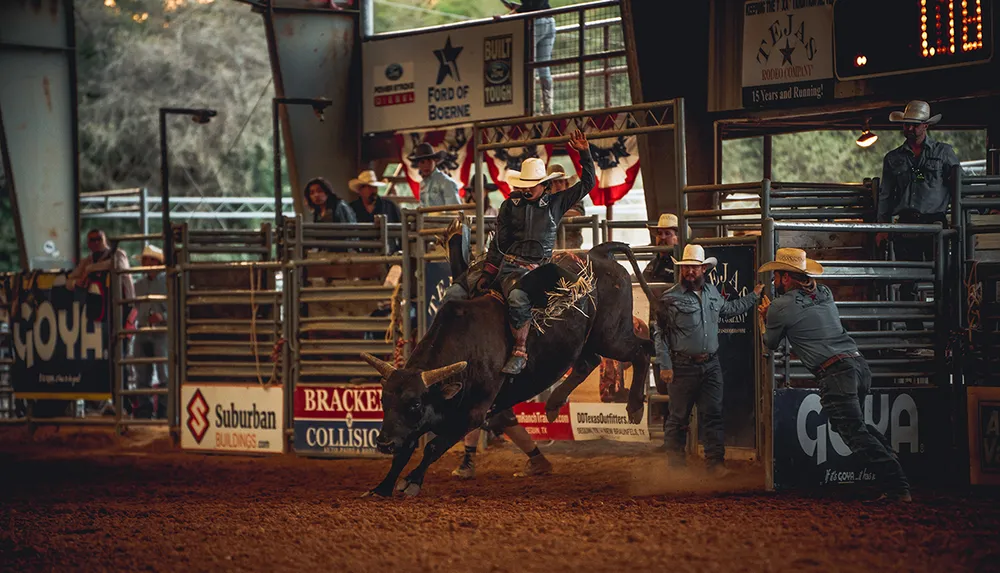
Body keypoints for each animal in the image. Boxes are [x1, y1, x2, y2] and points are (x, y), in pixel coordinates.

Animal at [360, 226, 656, 494]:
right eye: (384, 401)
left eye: (415, 403)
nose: (383, 444)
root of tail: (598, 253)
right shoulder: (414, 426)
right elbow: (405, 450)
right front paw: (382, 487)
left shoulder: (472, 414)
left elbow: (433, 446)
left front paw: (411, 481)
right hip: (586, 341)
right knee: (588, 362)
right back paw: (554, 403)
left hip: (611, 335)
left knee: (642, 351)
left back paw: (634, 407)